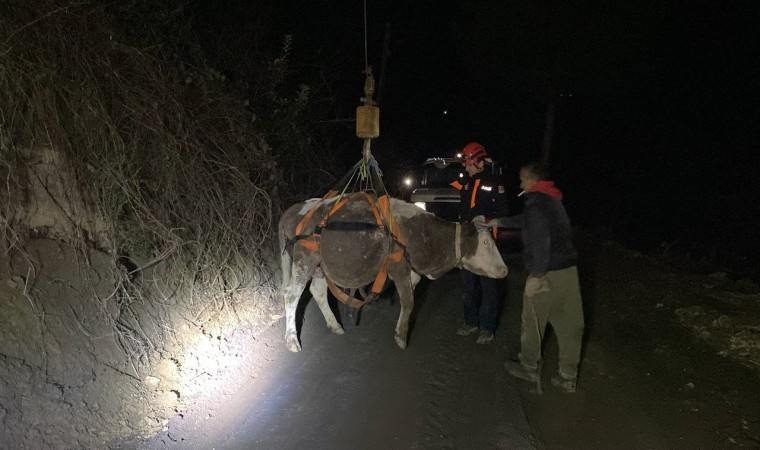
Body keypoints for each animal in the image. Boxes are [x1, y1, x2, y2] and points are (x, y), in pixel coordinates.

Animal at [278, 193, 504, 352]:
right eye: (485, 242)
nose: (504, 269)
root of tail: (293, 210)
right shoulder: (399, 268)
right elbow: (408, 302)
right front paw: (402, 337)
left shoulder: (413, 273)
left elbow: (410, 299)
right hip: (305, 259)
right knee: (291, 294)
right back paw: (292, 341)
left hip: (321, 266)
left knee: (317, 292)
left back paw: (335, 326)